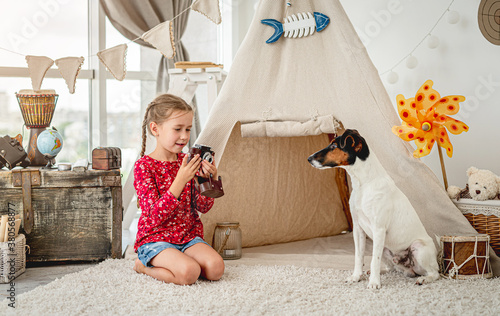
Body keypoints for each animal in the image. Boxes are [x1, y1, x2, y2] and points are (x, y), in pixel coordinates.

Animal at [306, 129, 440, 288]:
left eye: (334, 146)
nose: (308, 158)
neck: (363, 184)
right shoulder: (358, 228)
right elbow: (359, 256)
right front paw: (356, 276)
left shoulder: (378, 229)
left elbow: (373, 260)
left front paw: (374, 283)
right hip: (385, 248)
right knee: (391, 268)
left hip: (418, 247)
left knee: (435, 273)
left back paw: (424, 279)